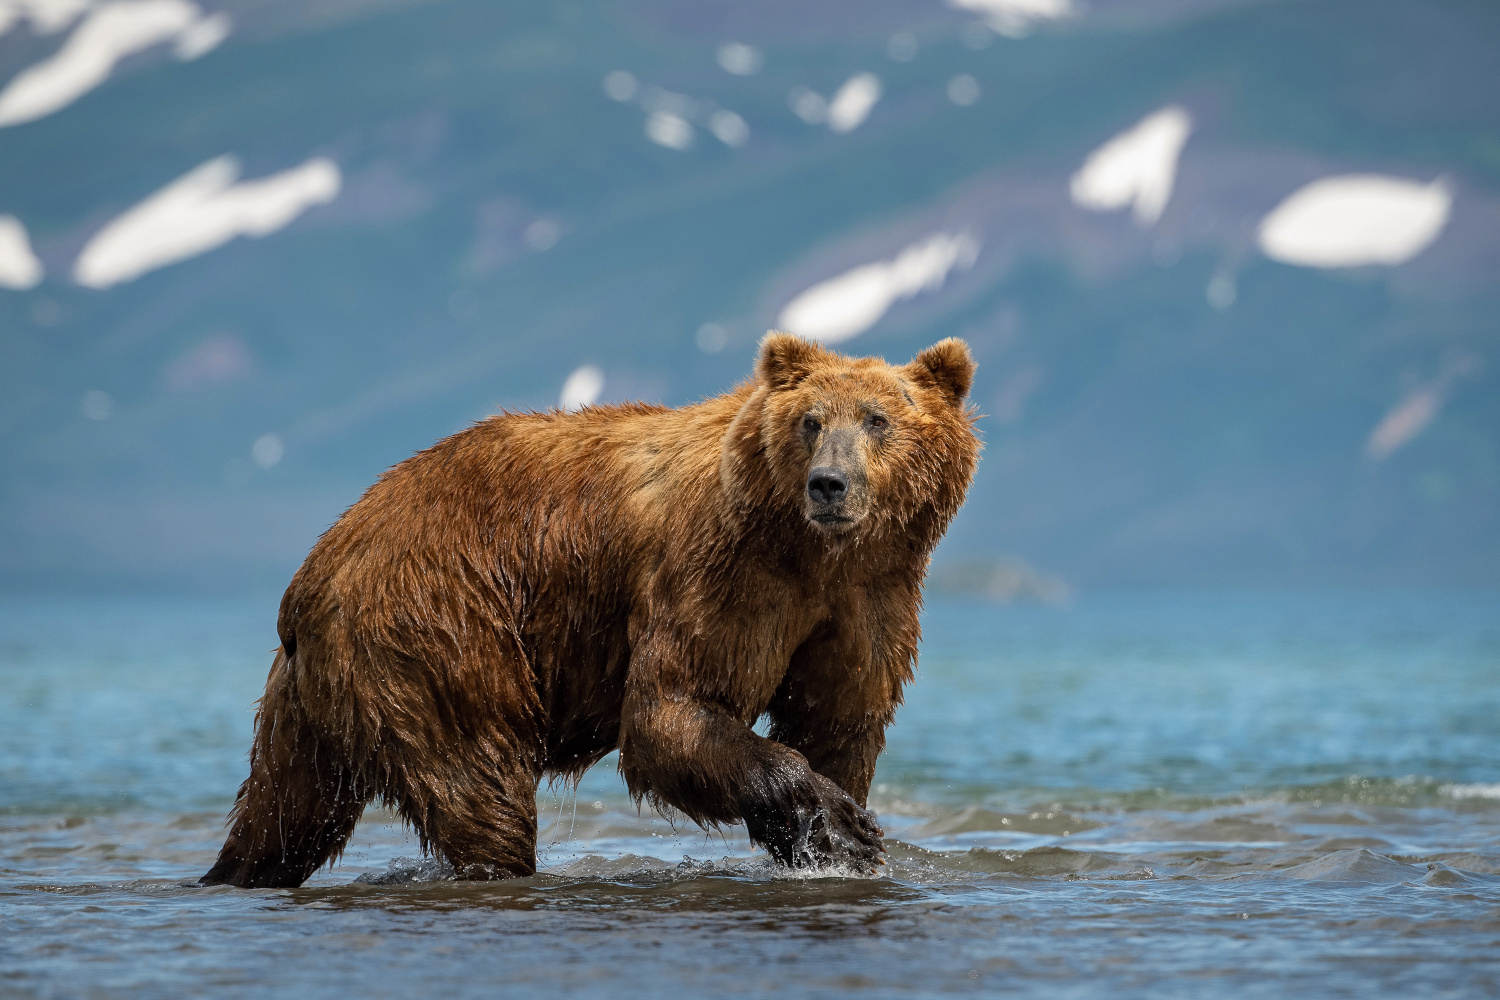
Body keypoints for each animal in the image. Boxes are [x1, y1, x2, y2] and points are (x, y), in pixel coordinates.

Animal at [202, 335, 984, 893]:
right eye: (811, 421)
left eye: (878, 419)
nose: (830, 484)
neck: (810, 550)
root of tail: (312, 573)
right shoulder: (721, 572)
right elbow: (673, 707)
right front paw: (839, 825)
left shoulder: (869, 597)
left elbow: (838, 719)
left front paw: (834, 830)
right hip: (433, 629)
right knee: (477, 782)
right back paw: (499, 864)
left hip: (309, 703)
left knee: (284, 812)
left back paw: (232, 873)